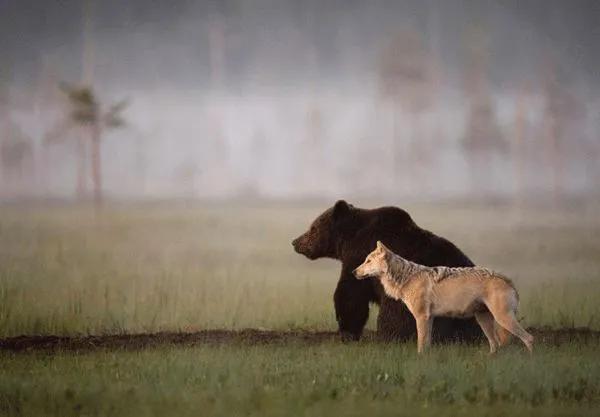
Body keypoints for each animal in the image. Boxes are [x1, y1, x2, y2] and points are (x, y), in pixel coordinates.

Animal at [290, 201, 482, 342]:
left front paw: (347, 331)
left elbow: (350, 294)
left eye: (313, 228)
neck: (348, 239)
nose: (295, 242)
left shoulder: (359, 257)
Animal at [352, 239, 536, 352]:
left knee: (529, 338)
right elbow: (427, 344)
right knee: (495, 344)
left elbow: (420, 345)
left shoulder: (422, 317)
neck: (406, 278)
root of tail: (507, 279)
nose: (353, 272)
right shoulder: (429, 318)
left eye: (368, 261)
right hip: (484, 320)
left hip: (502, 319)